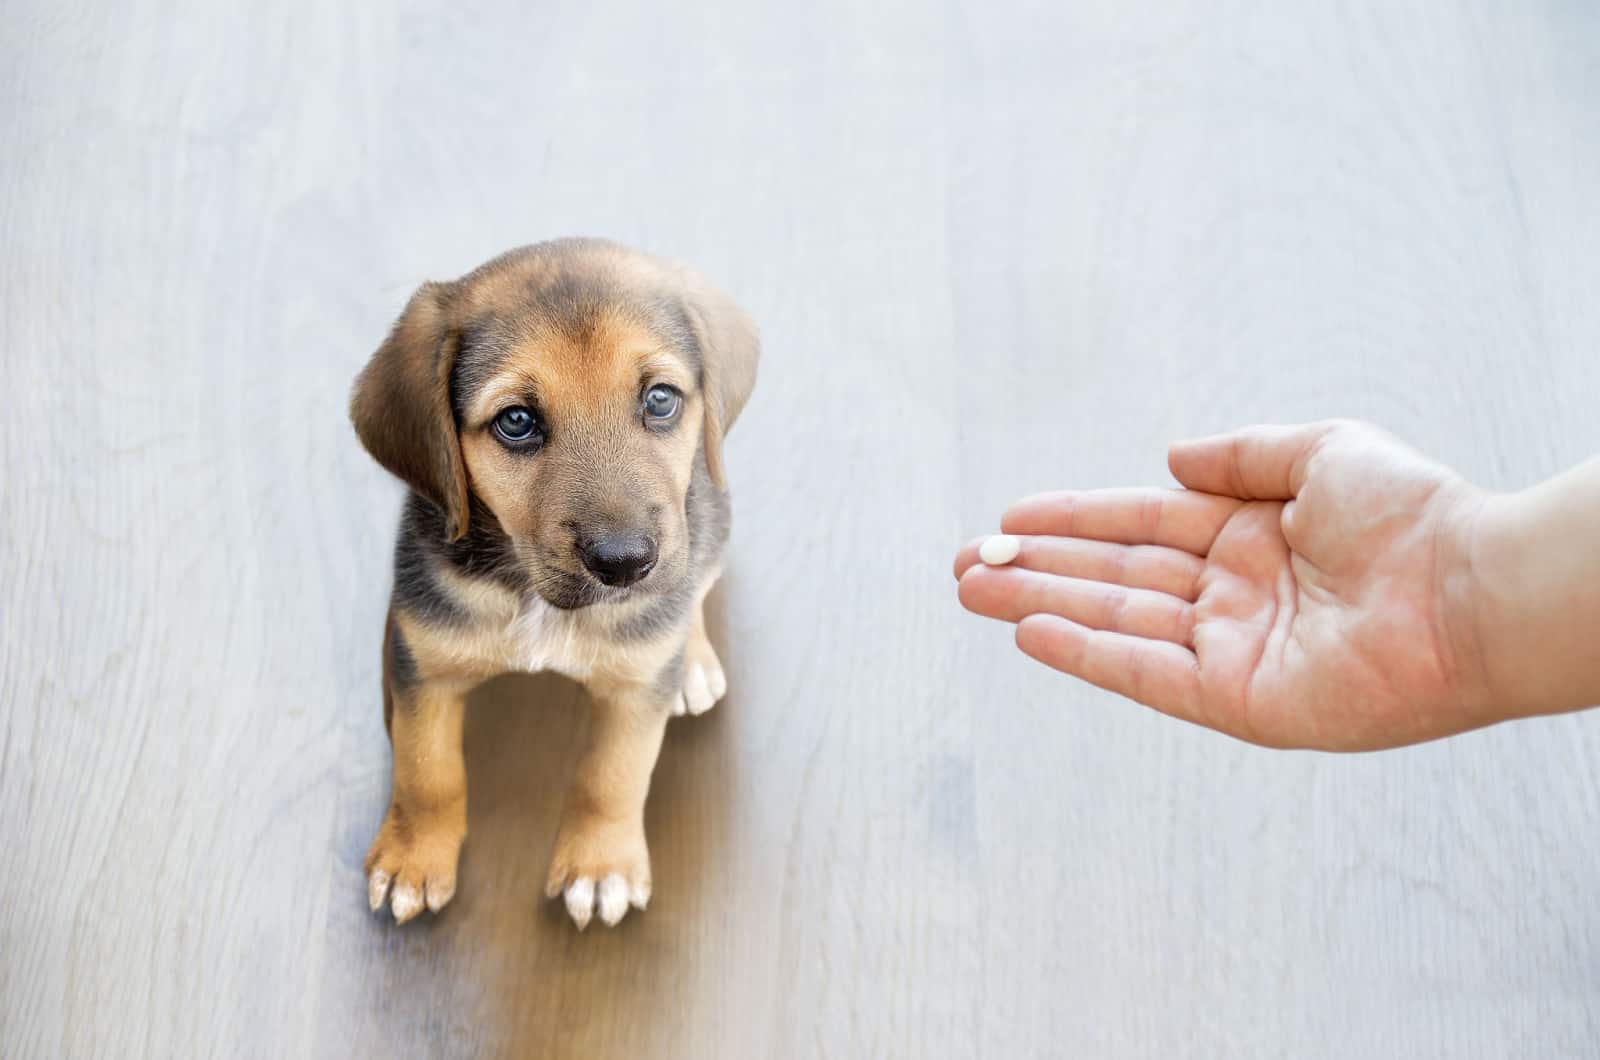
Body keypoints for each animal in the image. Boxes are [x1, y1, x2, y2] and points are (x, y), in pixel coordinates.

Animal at [348, 238, 755, 928]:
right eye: (516, 420)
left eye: (660, 400)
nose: (625, 564)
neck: (535, 596)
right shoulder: (424, 664)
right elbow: (427, 771)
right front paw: (413, 858)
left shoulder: (635, 690)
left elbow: (612, 776)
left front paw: (600, 867)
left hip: (711, 518)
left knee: (695, 584)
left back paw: (692, 660)